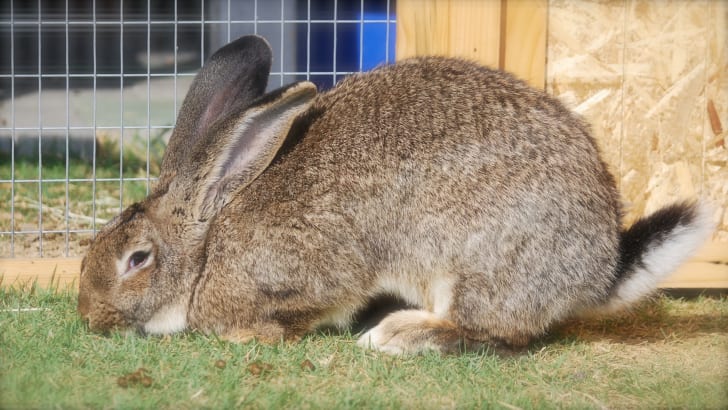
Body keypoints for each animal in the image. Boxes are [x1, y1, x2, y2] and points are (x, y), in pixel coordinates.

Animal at [77, 35, 715, 355]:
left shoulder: (314, 272)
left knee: (489, 333)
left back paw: (396, 335)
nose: (89, 317)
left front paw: (253, 334)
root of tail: (599, 269)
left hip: (476, 265)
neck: (208, 245)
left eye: (137, 259)